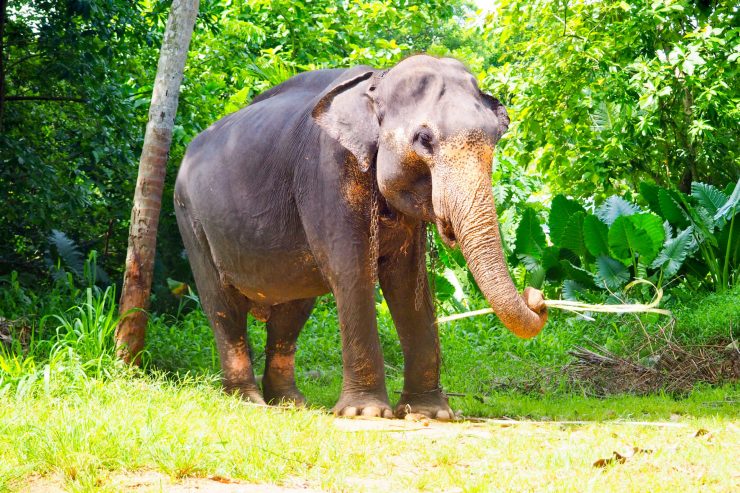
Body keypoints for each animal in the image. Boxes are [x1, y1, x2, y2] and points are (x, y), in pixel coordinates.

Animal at [172, 56, 544, 418]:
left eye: (496, 138)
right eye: (424, 140)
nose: (536, 297)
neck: (380, 79)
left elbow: (408, 281)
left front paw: (428, 413)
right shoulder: (328, 169)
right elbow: (352, 271)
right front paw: (364, 412)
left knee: (292, 310)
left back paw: (290, 403)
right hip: (190, 217)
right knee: (224, 308)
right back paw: (247, 401)